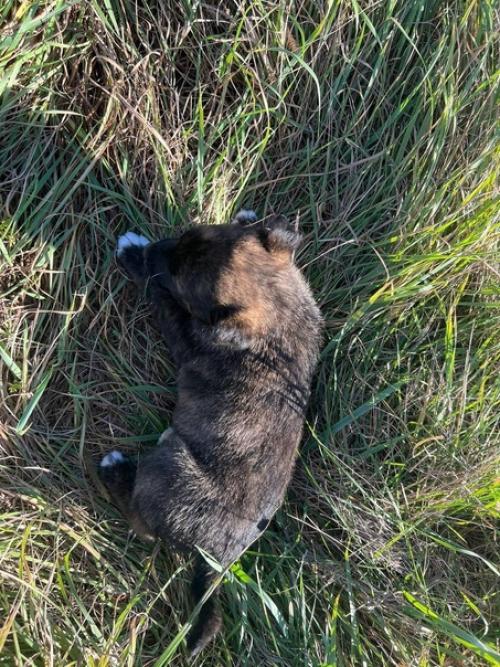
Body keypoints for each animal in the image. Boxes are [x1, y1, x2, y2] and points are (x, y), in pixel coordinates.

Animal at [99, 211, 322, 656]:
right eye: (184, 236)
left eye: (178, 275)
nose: (154, 249)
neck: (278, 311)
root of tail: (217, 559)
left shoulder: (186, 335)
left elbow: (162, 300)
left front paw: (133, 255)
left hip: (168, 465)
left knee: (141, 524)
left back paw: (115, 471)